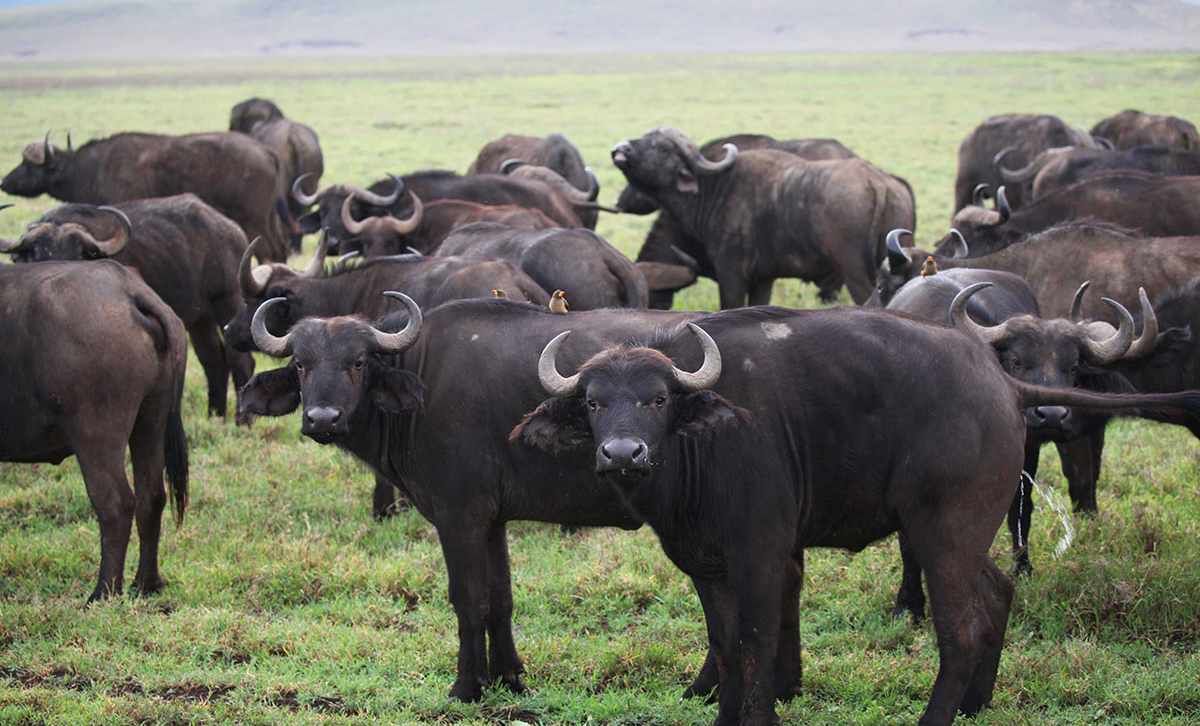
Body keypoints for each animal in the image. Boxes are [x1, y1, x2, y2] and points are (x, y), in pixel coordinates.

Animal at [0, 131, 290, 261]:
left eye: (28, 164)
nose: (4, 182)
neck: (91, 169)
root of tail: (266, 151)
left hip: (253, 220)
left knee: (267, 251)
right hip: (268, 219)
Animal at [0, 260, 187, 600]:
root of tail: (128, 290)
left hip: (96, 435)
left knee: (116, 503)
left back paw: (103, 592)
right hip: (151, 421)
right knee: (151, 496)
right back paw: (146, 583)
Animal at [1, 195, 255, 422]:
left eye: (78, 254)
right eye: (35, 254)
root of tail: (232, 229)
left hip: (227, 302)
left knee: (240, 360)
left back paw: (242, 421)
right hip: (200, 319)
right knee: (213, 360)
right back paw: (216, 416)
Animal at [614, 129, 912, 307]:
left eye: (661, 147)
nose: (619, 149)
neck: (713, 190)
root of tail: (878, 182)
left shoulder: (731, 275)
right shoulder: (763, 279)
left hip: (855, 272)